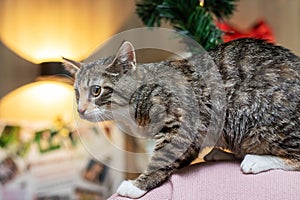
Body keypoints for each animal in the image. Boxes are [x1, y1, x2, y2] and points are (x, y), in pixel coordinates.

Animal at [63, 38, 300, 198]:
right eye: (77, 93)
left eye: (96, 91)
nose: (80, 110)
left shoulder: (183, 123)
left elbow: (163, 157)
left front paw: (136, 185)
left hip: (257, 116)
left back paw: (256, 160)